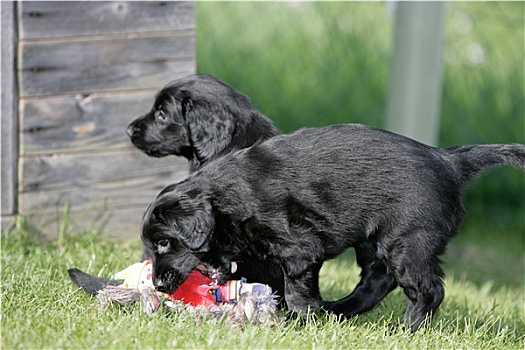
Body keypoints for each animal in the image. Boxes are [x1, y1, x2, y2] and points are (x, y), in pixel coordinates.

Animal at [142, 124, 524, 332]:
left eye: (164, 243)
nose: (158, 286)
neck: (227, 195)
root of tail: (450, 161)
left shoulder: (297, 249)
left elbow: (295, 290)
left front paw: (297, 321)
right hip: (376, 242)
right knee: (377, 282)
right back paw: (339, 311)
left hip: (409, 240)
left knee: (428, 290)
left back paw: (406, 331)